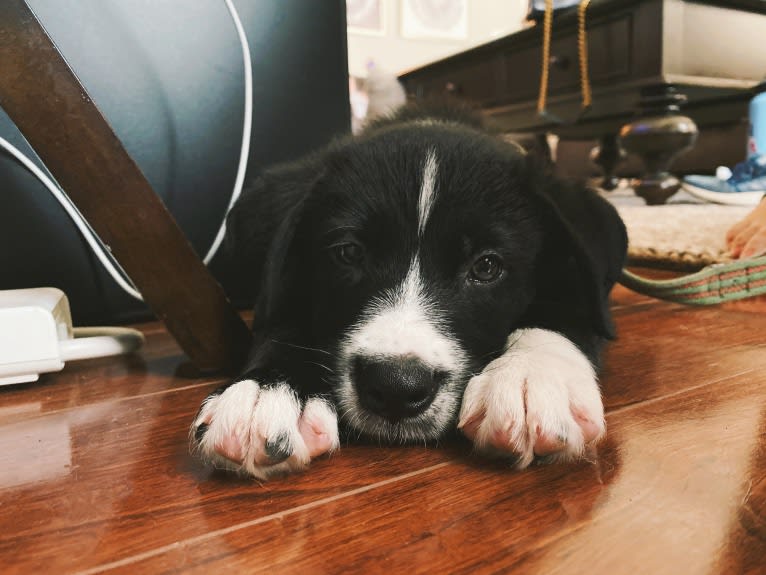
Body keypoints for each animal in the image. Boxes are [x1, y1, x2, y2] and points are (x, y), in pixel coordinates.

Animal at [192, 103, 632, 482]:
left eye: (487, 266)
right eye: (348, 252)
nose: (396, 388)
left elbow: (568, 308)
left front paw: (533, 375)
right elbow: (282, 321)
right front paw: (265, 391)